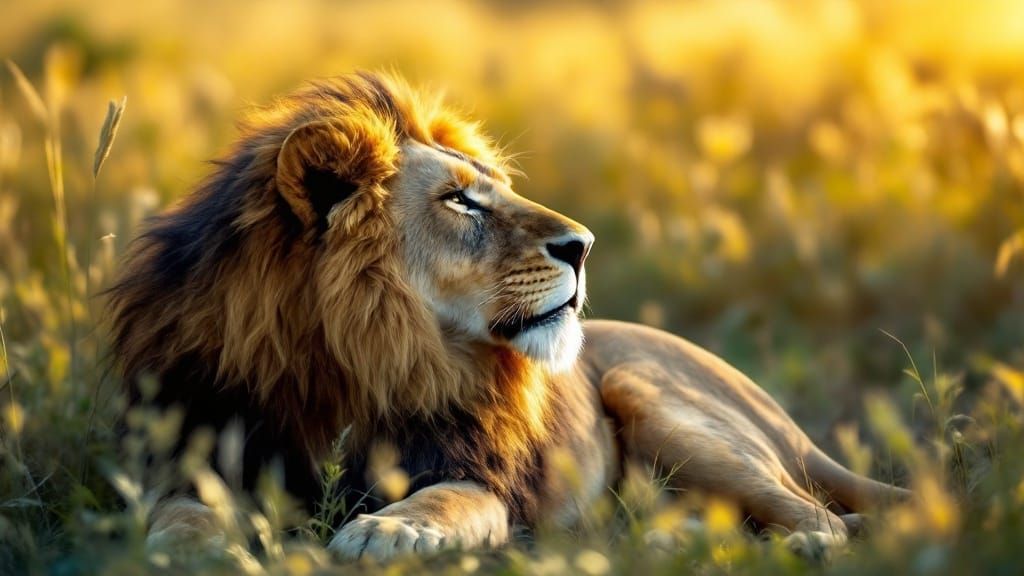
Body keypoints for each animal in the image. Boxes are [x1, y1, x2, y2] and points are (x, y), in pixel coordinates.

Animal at [107, 72, 909, 562]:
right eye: (461, 201)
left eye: (493, 189)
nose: (583, 245)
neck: (347, 361)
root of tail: (789, 424)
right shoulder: (197, 455)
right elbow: (177, 512)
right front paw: (183, 549)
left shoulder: (482, 478)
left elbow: (443, 502)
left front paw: (386, 533)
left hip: (660, 399)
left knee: (835, 521)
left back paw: (785, 546)